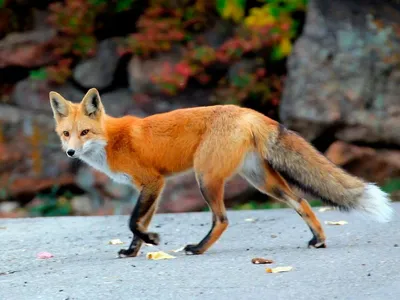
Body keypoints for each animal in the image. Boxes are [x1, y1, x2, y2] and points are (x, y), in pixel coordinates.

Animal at [48, 87, 392, 258]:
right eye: (67, 134)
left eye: (85, 132)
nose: (70, 153)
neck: (111, 140)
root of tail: (247, 111)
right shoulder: (151, 188)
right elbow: (137, 225)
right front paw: (133, 251)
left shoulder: (153, 182)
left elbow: (133, 222)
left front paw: (152, 240)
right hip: (260, 180)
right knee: (302, 201)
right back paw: (318, 239)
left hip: (206, 178)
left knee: (223, 219)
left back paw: (198, 249)